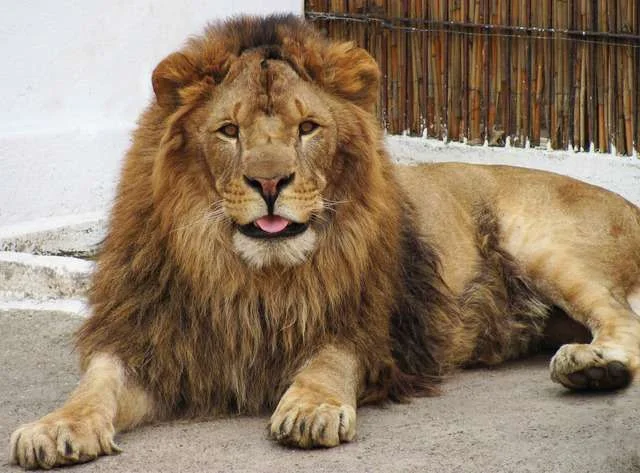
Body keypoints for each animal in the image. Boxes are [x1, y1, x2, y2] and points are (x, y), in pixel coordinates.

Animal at [9, 14, 640, 469]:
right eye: (229, 131)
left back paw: (590, 365)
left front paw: (310, 408)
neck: (247, 275)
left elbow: (329, 360)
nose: (269, 184)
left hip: (543, 246)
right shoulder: (154, 339)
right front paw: (55, 427)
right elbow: (96, 383)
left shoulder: (367, 328)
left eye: (307, 128)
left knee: (622, 319)